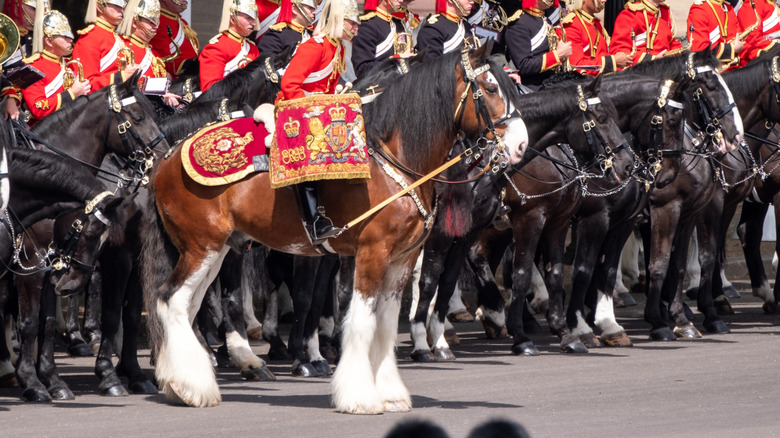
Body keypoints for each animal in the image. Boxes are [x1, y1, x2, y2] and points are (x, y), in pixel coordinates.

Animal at [143, 45, 528, 414]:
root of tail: (166, 157)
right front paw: (359, 396)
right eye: (491, 88)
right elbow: (359, 321)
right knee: (170, 298)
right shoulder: (371, 253)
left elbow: (385, 325)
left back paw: (184, 381)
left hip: (216, 249)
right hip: (201, 247)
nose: (521, 146)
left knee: (187, 306)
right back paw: (191, 386)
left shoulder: (402, 259)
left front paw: (390, 394)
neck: (392, 160)